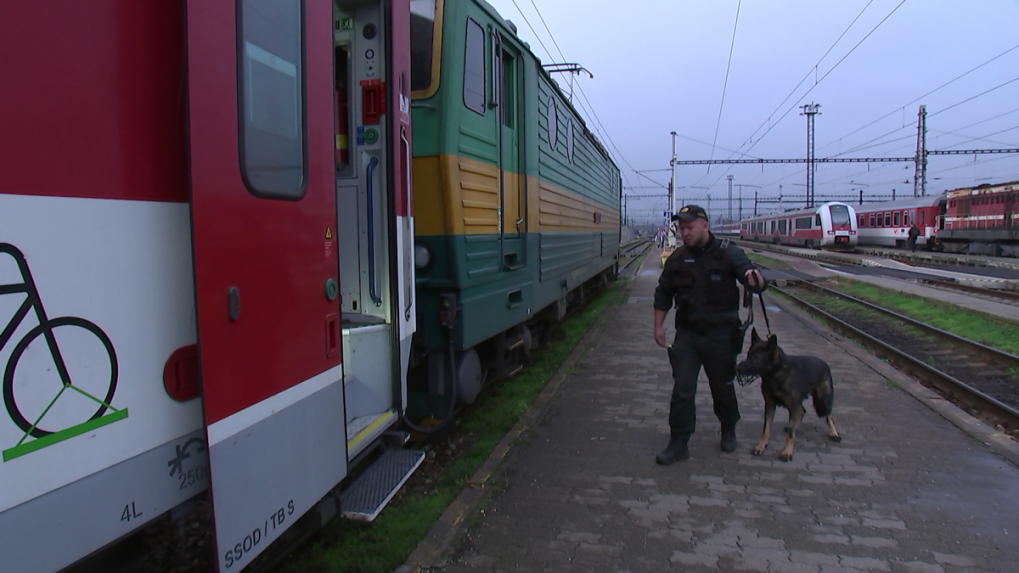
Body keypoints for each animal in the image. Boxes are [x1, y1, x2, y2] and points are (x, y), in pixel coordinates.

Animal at [737, 326, 839, 458]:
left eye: (756, 359)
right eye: (748, 355)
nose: (738, 368)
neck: (777, 373)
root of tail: (825, 364)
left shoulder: (793, 407)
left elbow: (791, 435)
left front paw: (787, 452)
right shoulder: (770, 405)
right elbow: (766, 430)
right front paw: (761, 446)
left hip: (823, 400)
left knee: (828, 415)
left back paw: (834, 433)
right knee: (802, 411)